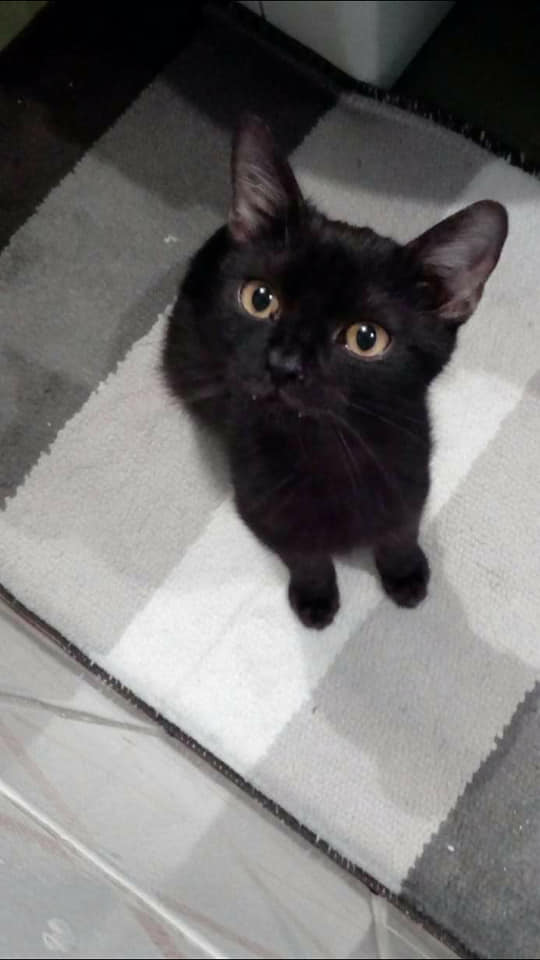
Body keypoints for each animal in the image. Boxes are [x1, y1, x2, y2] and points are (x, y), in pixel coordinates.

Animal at [163, 115, 507, 629]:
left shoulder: (411, 474)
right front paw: (315, 597)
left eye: (366, 338)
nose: (284, 364)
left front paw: (406, 574)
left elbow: (400, 530)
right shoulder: (261, 504)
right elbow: (303, 554)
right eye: (259, 298)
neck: (326, 450)